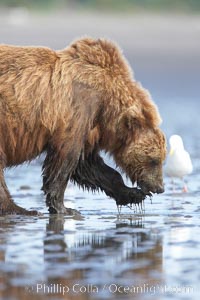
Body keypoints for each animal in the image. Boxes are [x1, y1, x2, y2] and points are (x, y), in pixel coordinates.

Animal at [0, 38, 166, 216]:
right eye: (154, 160)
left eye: (162, 159)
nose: (160, 188)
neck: (106, 106)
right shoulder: (77, 110)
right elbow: (65, 160)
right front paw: (65, 208)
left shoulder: (90, 125)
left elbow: (89, 165)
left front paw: (132, 194)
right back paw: (20, 209)